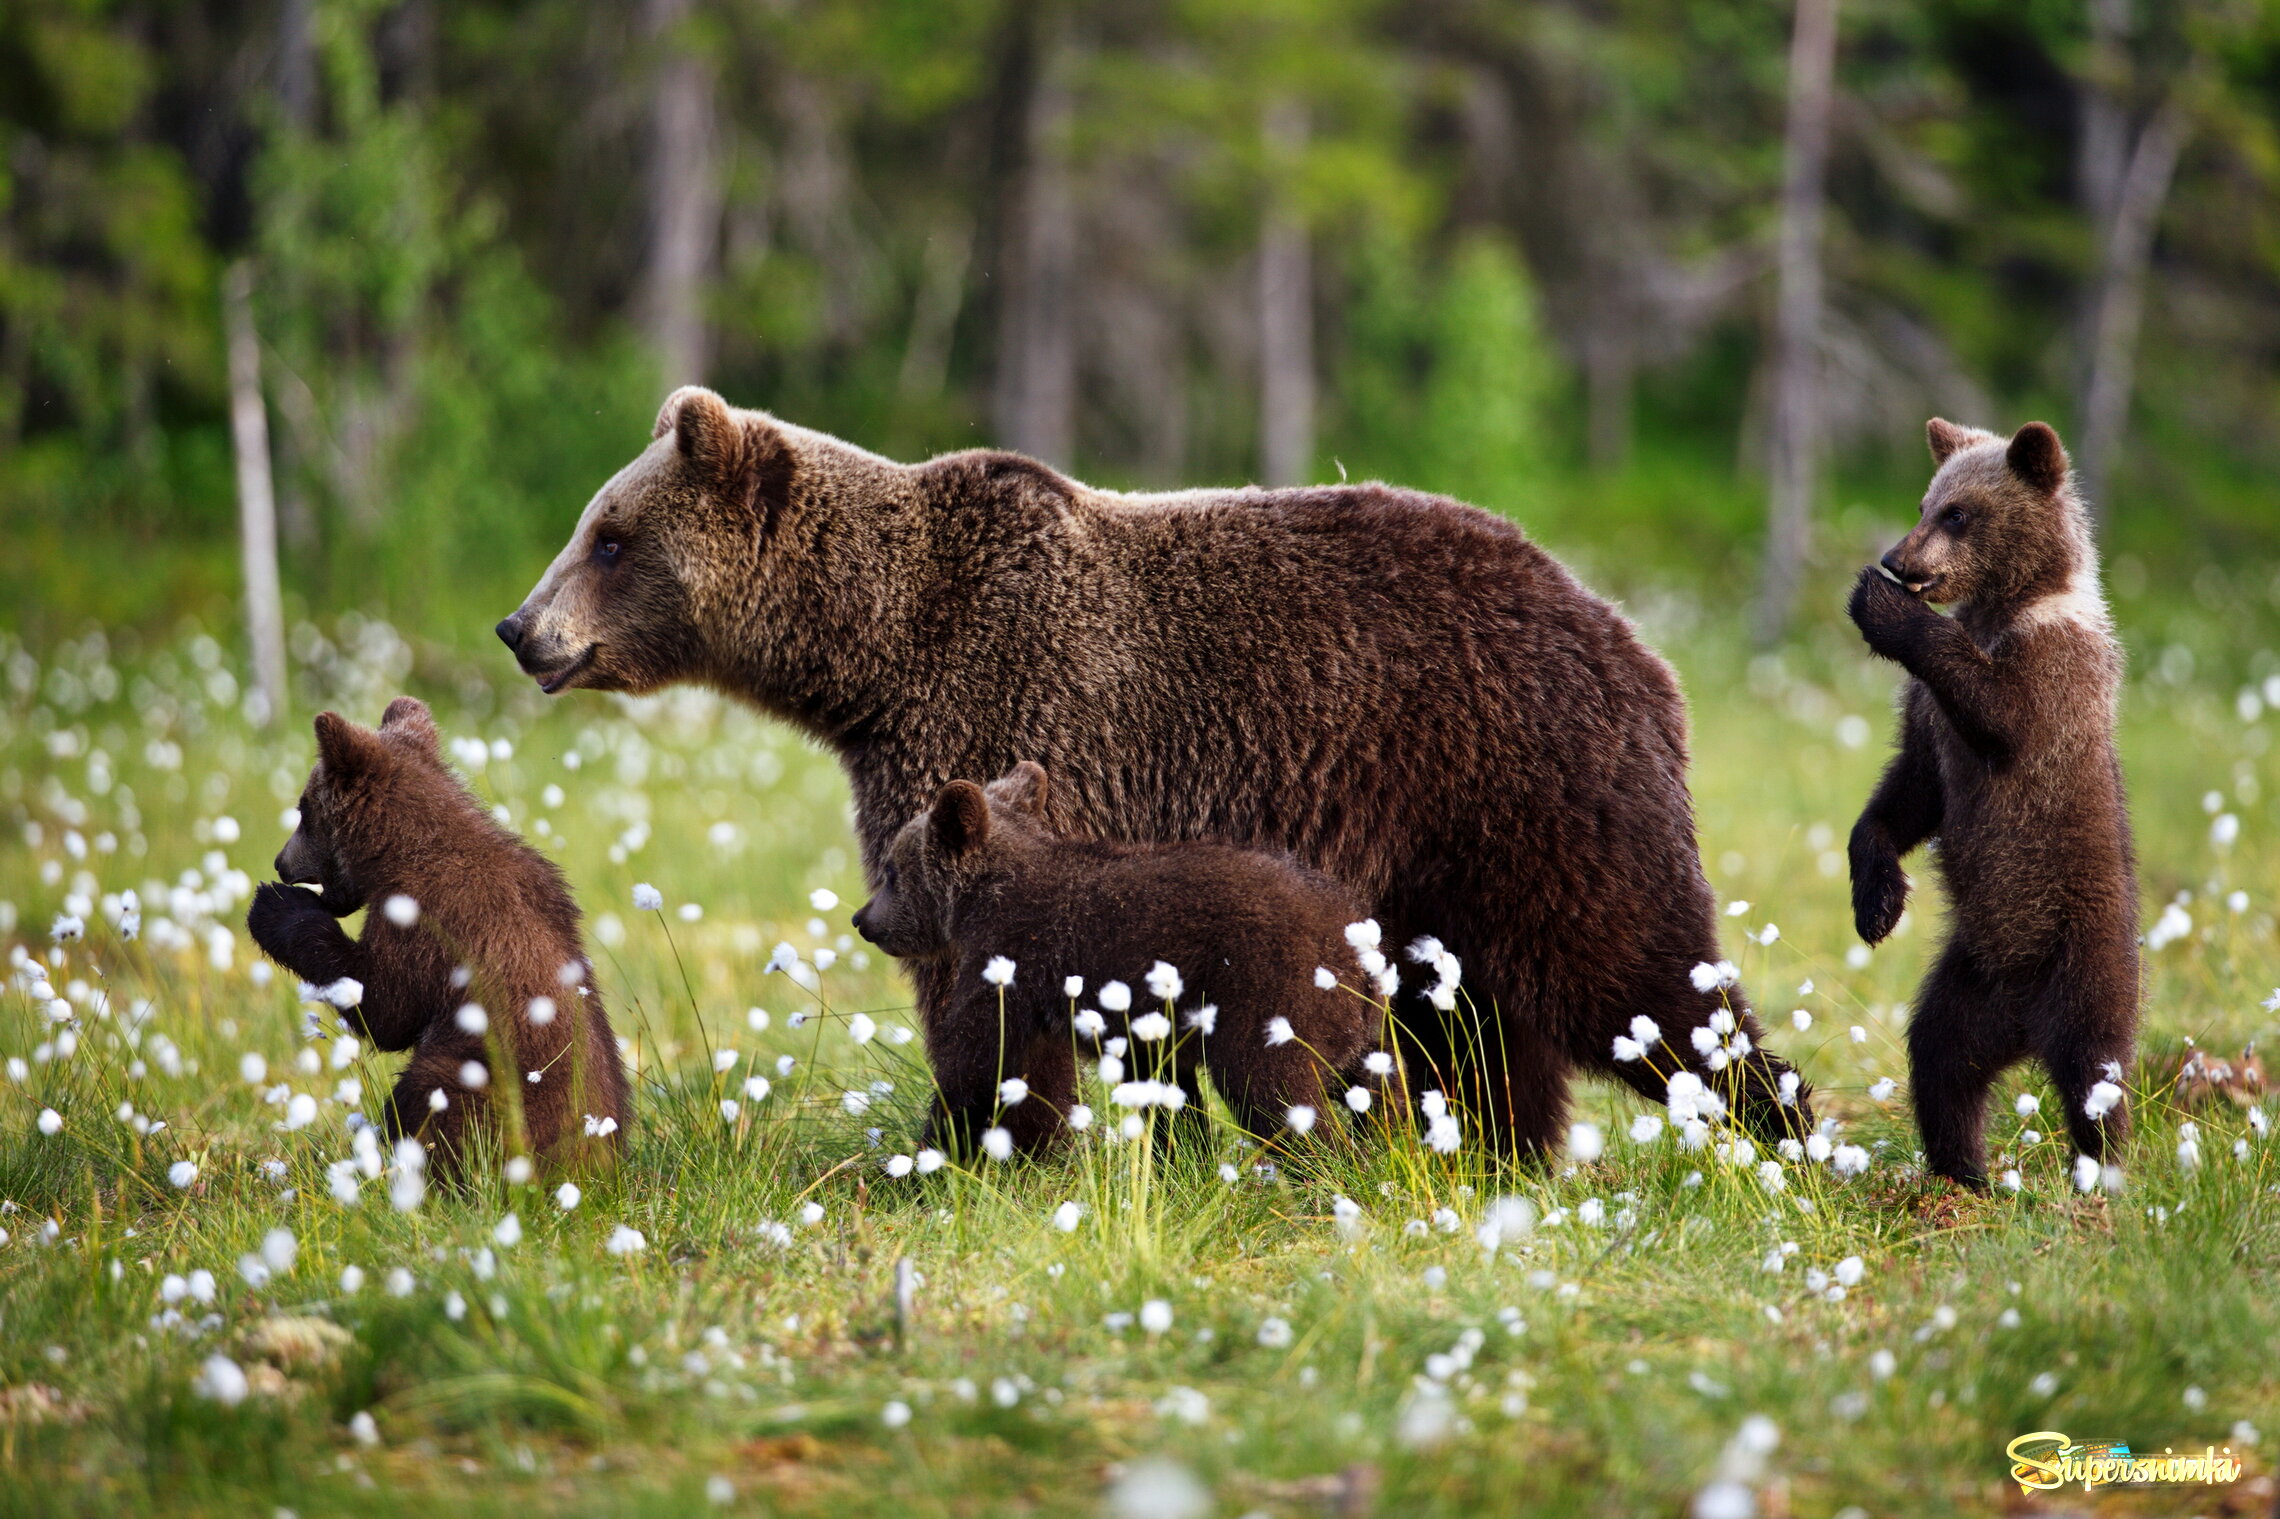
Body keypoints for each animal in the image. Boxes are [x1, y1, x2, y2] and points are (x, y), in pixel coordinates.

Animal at [503, 385, 1814, 1154]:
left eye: (609, 537)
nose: (522, 628)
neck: (872, 658)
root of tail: (1633, 636)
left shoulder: (995, 718)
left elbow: (974, 978)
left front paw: (974, 1140)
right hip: (1438, 860)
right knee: (1481, 1020)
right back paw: (1484, 1148)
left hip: (1524, 786)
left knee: (1634, 976)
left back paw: (1784, 1126)